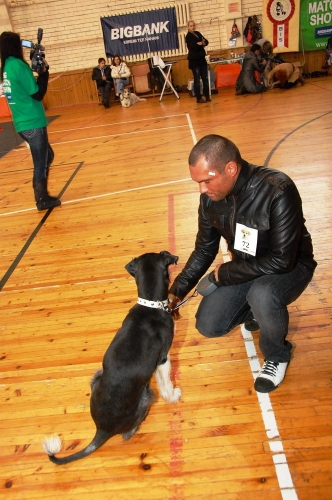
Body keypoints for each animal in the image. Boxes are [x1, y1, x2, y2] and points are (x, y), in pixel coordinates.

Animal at [42, 250, 182, 464]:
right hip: (146, 396)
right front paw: (174, 395)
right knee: (127, 433)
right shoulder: (163, 358)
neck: (150, 305)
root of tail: (102, 430)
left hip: (97, 375)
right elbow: (166, 383)